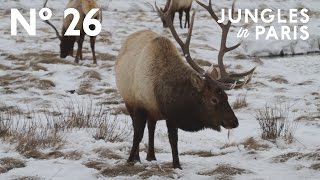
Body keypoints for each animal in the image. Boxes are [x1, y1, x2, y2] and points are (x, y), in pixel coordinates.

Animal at [115, 0, 255, 169]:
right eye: (214, 99)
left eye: (226, 96)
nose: (234, 122)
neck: (162, 94)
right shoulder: (139, 104)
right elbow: (137, 134)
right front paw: (130, 160)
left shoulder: (171, 115)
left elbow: (173, 140)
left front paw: (177, 165)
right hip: (128, 100)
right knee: (141, 127)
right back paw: (141, 157)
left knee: (151, 127)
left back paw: (151, 156)